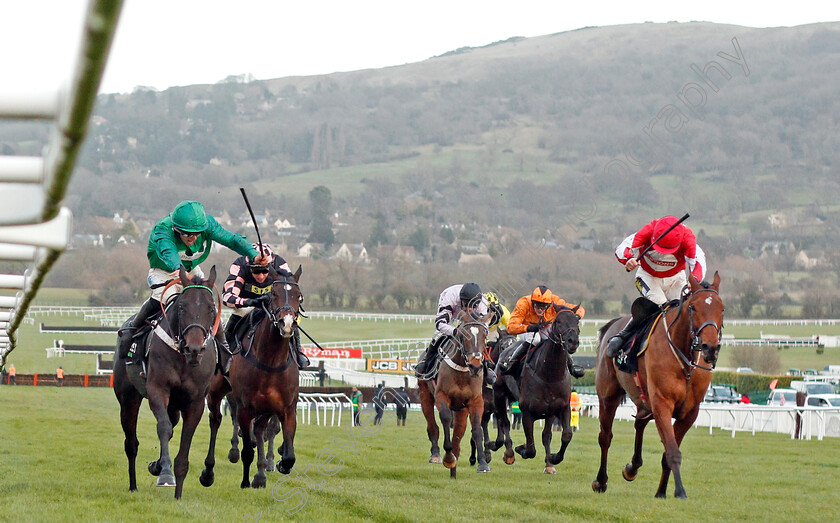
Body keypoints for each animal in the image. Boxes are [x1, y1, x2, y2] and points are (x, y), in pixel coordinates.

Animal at [113, 266, 221, 500]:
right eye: (182, 306)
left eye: (211, 308)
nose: (194, 349)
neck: (182, 357)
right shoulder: (157, 390)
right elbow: (163, 428)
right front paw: (164, 474)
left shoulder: (195, 402)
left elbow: (183, 446)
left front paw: (177, 493)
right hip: (128, 398)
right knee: (131, 443)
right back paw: (134, 485)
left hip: (174, 405)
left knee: (171, 423)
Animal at [200, 268, 302, 490]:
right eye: (273, 294)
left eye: (299, 296)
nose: (287, 324)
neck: (270, 361)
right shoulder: (245, 407)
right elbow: (247, 449)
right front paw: (246, 480)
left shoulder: (286, 408)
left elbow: (289, 455)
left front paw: (276, 465)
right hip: (216, 393)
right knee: (216, 420)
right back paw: (209, 471)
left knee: (261, 429)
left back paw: (262, 471)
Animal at [418, 316, 492, 478]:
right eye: (464, 336)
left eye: (484, 335)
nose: (475, 366)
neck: (462, 371)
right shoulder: (441, 396)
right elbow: (445, 418)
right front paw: (448, 457)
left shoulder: (476, 401)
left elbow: (476, 429)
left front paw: (483, 463)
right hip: (425, 394)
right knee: (432, 425)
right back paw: (437, 454)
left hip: (461, 410)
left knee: (459, 434)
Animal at [488, 304, 580, 472]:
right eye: (558, 321)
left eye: (577, 321)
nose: (573, 342)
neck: (550, 376)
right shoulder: (527, 413)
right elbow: (531, 449)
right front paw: (521, 449)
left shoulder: (559, 408)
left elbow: (562, 435)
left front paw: (552, 460)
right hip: (499, 394)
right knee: (504, 421)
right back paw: (508, 452)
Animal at [592, 274, 720, 500]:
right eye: (693, 307)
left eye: (721, 308)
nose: (710, 348)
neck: (685, 360)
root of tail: (612, 325)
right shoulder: (662, 403)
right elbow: (672, 451)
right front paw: (680, 491)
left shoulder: (689, 412)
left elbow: (668, 451)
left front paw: (661, 491)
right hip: (608, 396)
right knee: (605, 437)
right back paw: (601, 480)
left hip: (643, 398)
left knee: (639, 423)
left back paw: (632, 467)